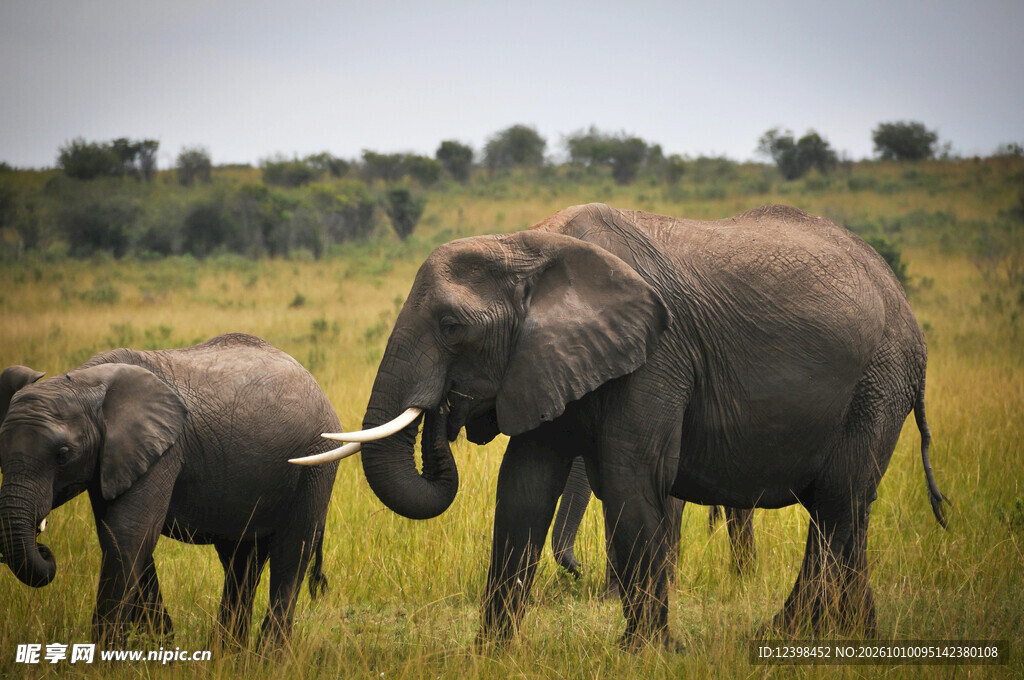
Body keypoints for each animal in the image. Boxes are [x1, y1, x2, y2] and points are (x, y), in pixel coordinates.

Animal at [0, 333, 342, 648]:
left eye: (62, 454)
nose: (44, 548)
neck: (85, 381)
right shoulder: (112, 460)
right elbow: (119, 534)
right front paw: (158, 646)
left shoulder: (164, 451)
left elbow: (129, 533)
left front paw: (104, 657)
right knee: (241, 560)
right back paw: (227, 655)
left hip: (315, 463)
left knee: (291, 554)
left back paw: (266, 659)